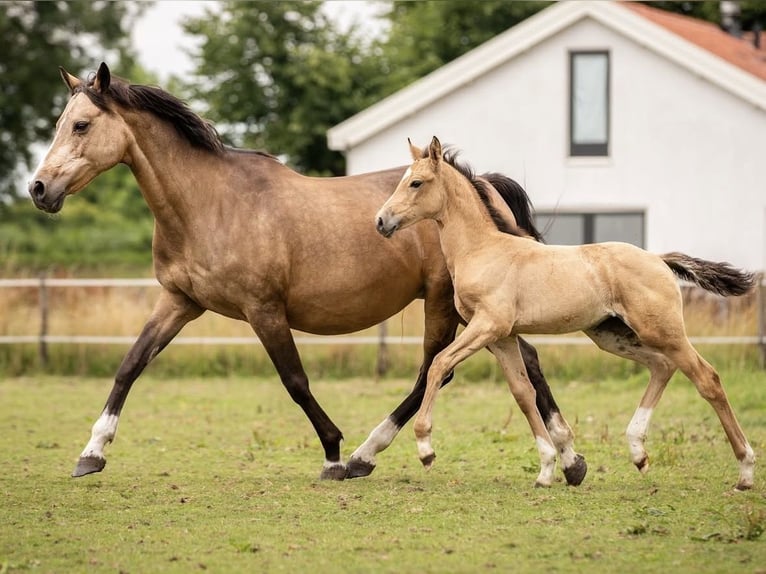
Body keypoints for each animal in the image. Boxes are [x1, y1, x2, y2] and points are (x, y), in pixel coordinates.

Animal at [27, 63, 587, 485]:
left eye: (81, 125)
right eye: (59, 123)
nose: (38, 189)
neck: (210, 205)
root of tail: (481, 183)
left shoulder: (263, 309)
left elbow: (295, 381)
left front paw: (333, 454)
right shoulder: (179, 301)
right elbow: (131, 364)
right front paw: (92, 453)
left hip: (444, 301)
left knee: (437, 368)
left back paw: (364, 454)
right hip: (480, 310)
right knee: (520, 361)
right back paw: (570, 460)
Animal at [375, 136, 756, 490]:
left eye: (416, 182)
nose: (380, 221)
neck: (483, 250)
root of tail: (658, 259)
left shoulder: (488, 325)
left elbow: (439, 364)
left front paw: (425, 448)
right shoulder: (502, 337)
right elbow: (523, 392)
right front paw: (547, 469)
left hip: (662, 331)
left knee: (707, 378)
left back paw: (745, 471)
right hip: (611, 335)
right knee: (662, 366)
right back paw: (638, 452)